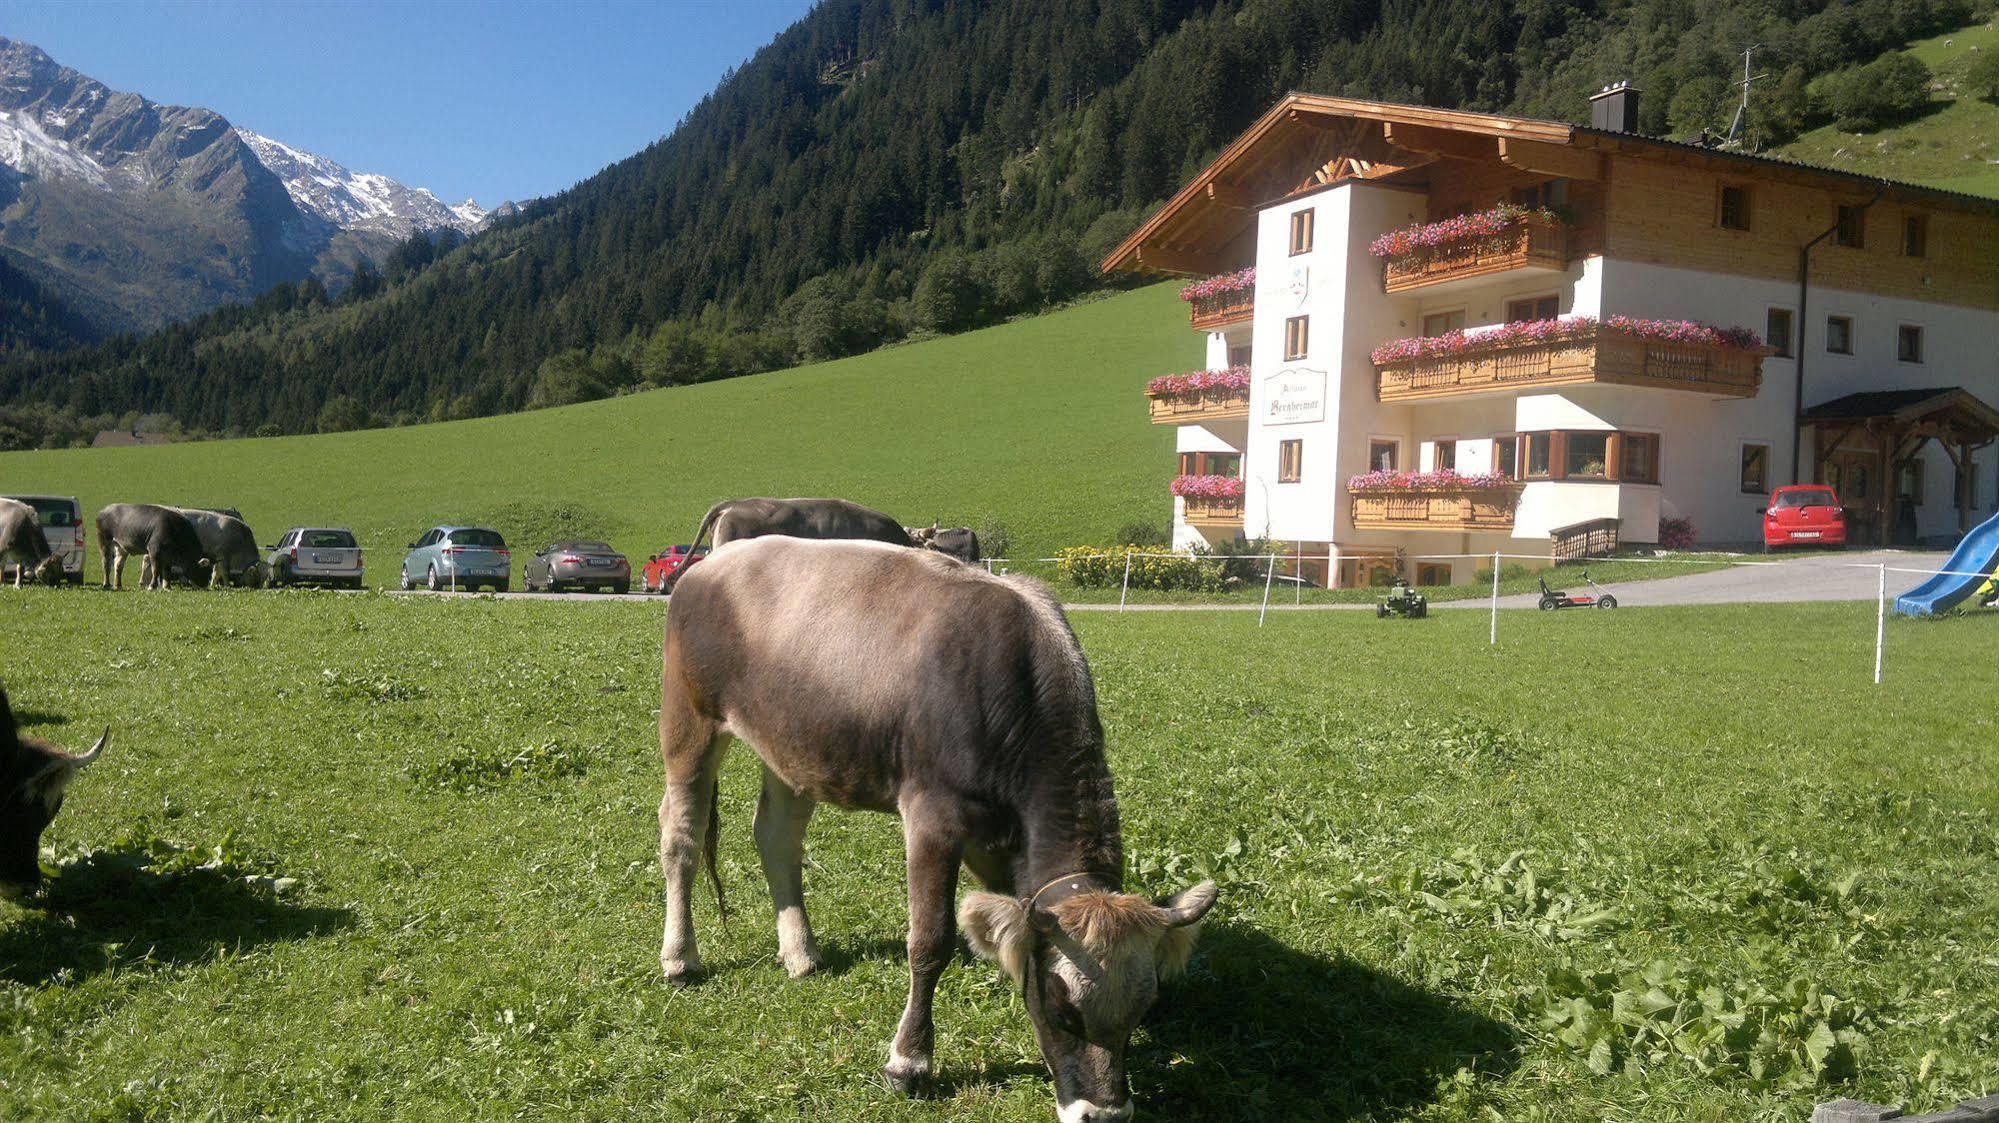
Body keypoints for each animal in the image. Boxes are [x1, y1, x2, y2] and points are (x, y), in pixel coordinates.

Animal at [663, 539, 1207, 1111]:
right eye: (1062, 1007)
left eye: (1143, 1006)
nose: (1102, 1114)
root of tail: (718, 559)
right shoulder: (932, 817)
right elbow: (930, 940)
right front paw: (910, 1062)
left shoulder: (1000, 843)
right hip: (688, 718)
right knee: (681, 837)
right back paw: (680, 958)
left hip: (792, 744)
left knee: (776, 838)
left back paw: (800, 953)